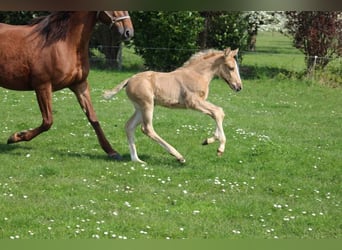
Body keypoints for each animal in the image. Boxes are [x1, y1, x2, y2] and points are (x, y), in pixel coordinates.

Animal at [0, 11, 134, 158]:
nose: (129, 32)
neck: (65, 44)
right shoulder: (42, 86)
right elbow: (47, 122)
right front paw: (15, 137)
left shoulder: (80, 85)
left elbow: (93, 118)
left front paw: (111, 151)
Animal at [103, 47, 242, 163]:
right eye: (231, 67)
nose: (239, 87)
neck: (197, 74)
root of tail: (129, 80)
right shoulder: (193, 102)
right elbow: (218, 112)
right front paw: (220, 147)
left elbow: (218, 112)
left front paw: (209, 140)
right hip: (147, 105)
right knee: (147, 128)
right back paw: (178, 156)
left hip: (139, 108)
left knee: (129, 126)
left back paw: (137, 160)